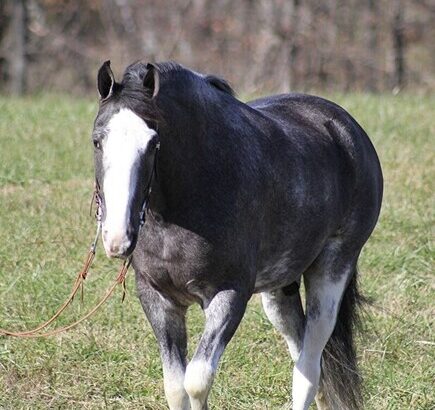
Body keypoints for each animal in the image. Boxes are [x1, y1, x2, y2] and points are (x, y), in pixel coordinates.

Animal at [91, 58, 382, 410]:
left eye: (153, 143)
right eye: (97, 141)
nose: (117, 238)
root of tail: (346, 129)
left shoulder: (229, 295)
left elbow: (196, 382)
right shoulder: (158, 299)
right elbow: (175, 388)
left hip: (333, 269)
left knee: (309, 369)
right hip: (279, 290)